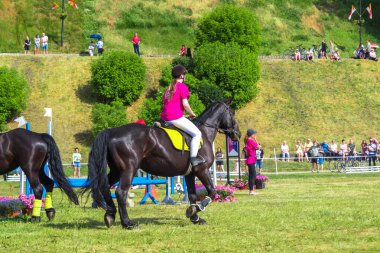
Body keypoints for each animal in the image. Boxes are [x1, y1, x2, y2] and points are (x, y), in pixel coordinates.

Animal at [83, 100, 240, 229]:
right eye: (232, 113)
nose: (237, 134)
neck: (204, 132)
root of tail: (112, 131)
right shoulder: (202, 170)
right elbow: (212, 192)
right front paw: (196, 209)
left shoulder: (190, 174)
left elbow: (192, 195)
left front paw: (195, 217)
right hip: (128, 170)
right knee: (120, 192)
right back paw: (128, 223)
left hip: (116, 170)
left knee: (105, 187)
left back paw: (110, 215)